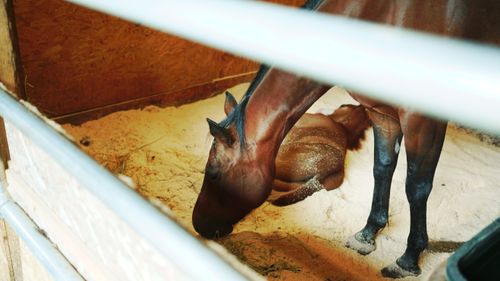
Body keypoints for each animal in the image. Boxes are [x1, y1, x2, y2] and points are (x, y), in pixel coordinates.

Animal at [192, 0, 500, 276]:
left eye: (214, 172)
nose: (198, 225)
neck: (382, 13)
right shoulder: (382, 114)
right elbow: (382, 169)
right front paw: (367, 234)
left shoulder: (423, 121)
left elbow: (416, 187)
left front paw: (408, 259)